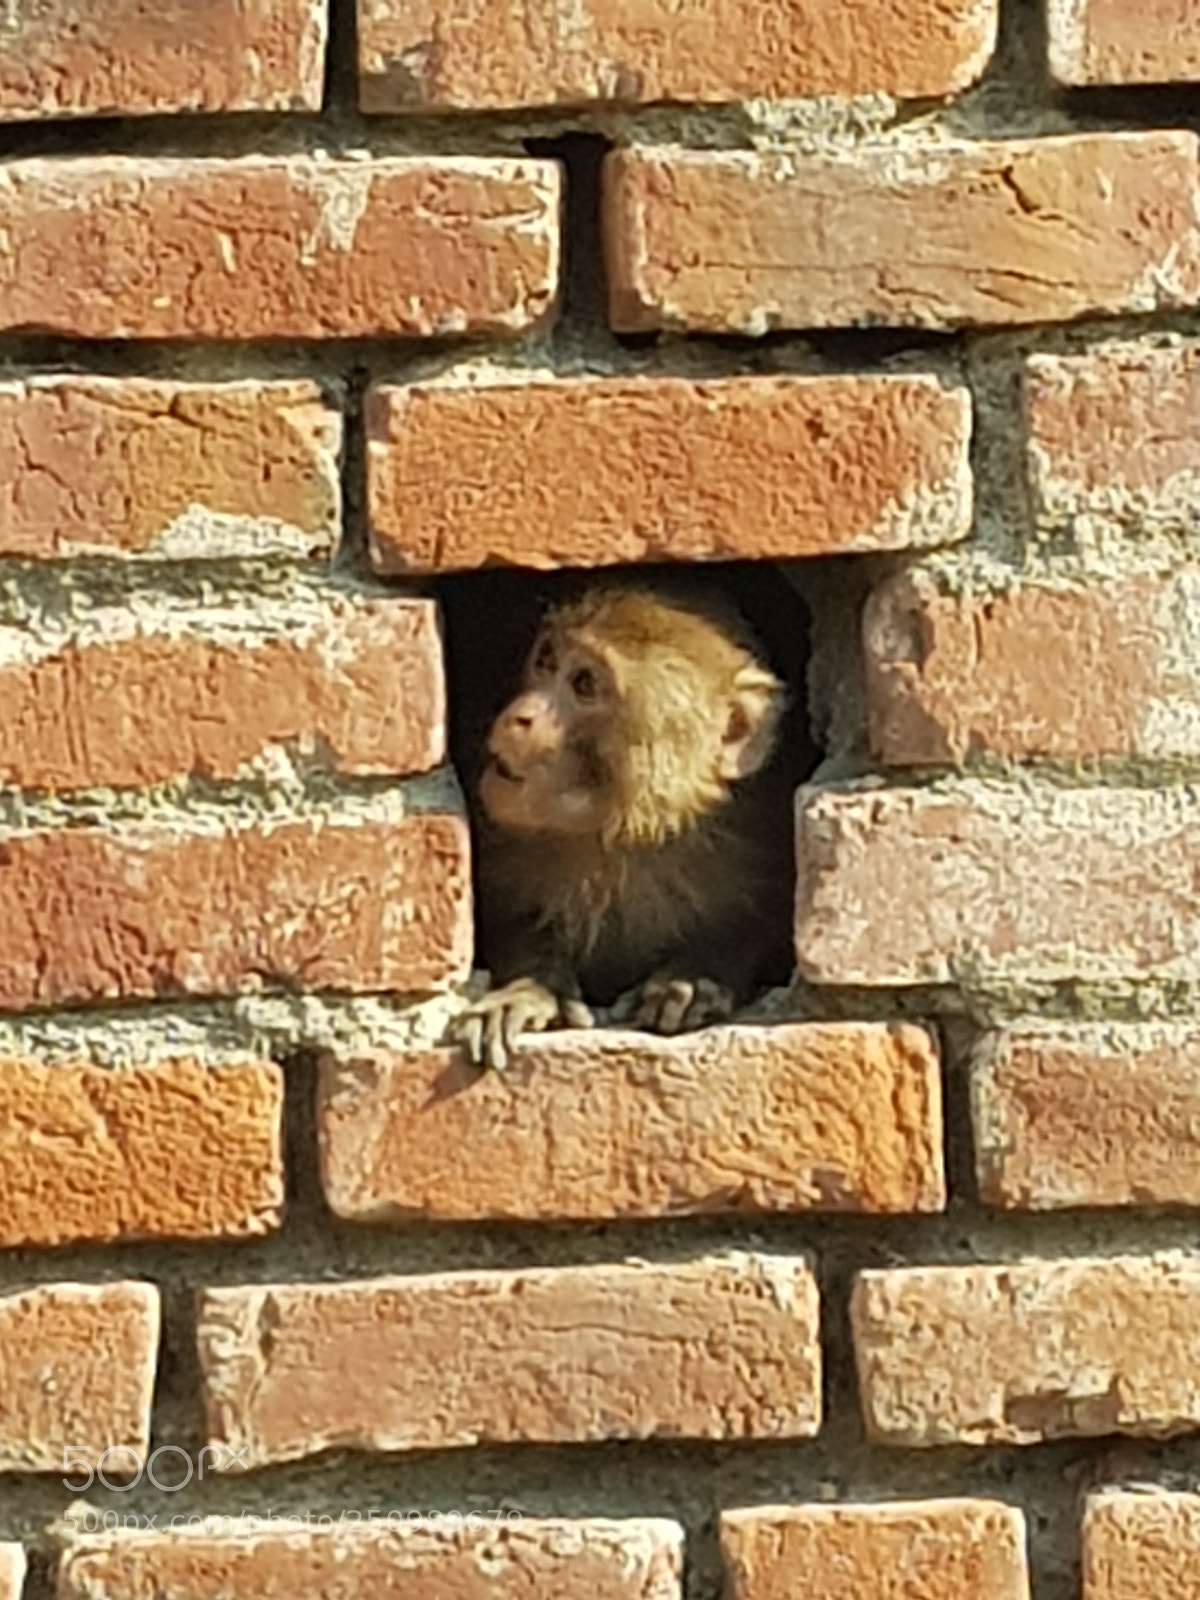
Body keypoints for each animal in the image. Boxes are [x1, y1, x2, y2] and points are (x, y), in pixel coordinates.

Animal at [453, 581, 794, 1070]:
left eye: (585, 684)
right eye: (546, 659)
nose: (521, 716)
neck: (622, 835)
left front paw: (696, 976)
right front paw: (533, 986)